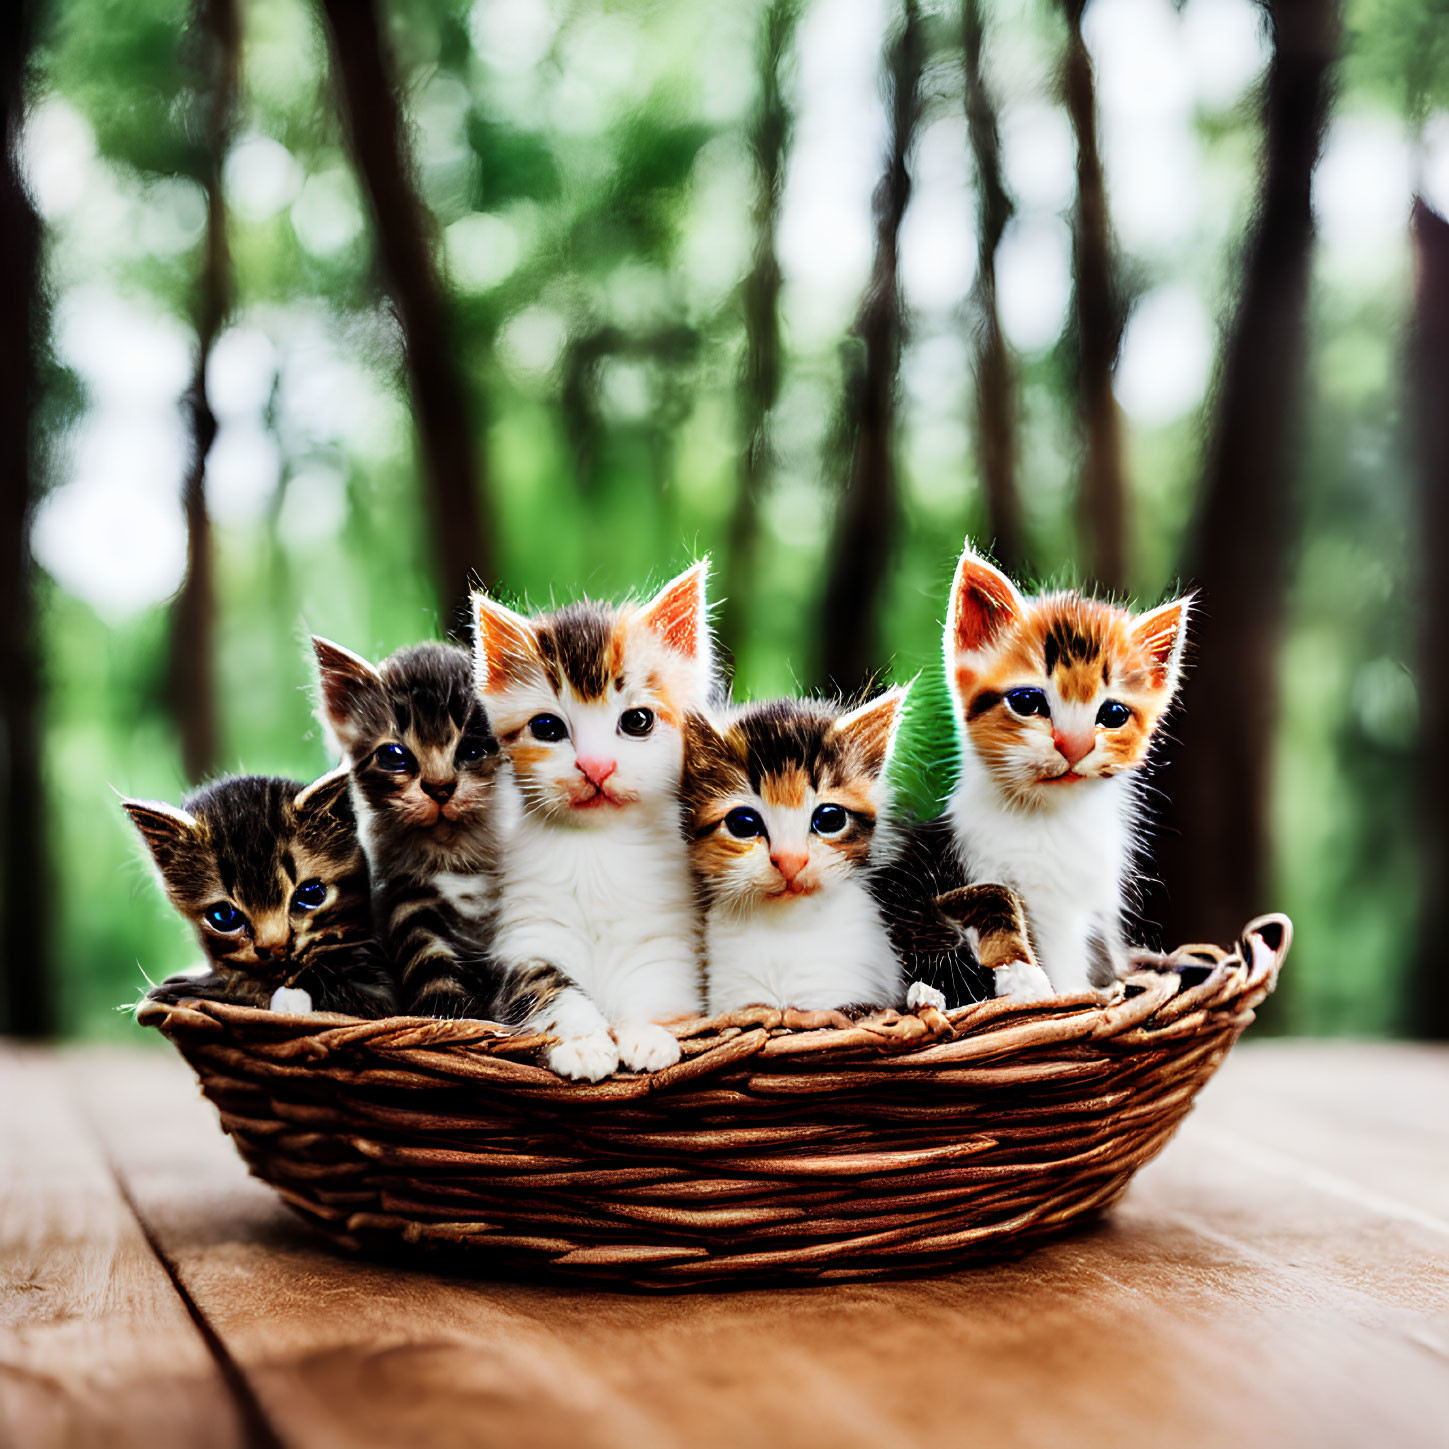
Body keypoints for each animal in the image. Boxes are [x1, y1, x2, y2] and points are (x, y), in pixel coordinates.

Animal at [314, 634, 530, 1020]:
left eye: (473, 749)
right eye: (394, 756)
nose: (440, 788)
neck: (452, 854)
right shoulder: (406, 894)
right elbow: (427, 954)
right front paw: (448, 1010)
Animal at [472, 559, 715, 1083]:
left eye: (638, 720)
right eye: (547, 728)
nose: (595, 766)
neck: (598, 848)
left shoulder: (670, 937)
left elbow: (660, 987)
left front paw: (645, 1033)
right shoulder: (522, 936)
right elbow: (547, 987)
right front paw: (584, 1041)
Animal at [938, 539, 1188, 1002]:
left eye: (1113, 714)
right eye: (1027, 702)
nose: (1074, 745)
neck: (1052, 819)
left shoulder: (1095, 899)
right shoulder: (1003, 881)